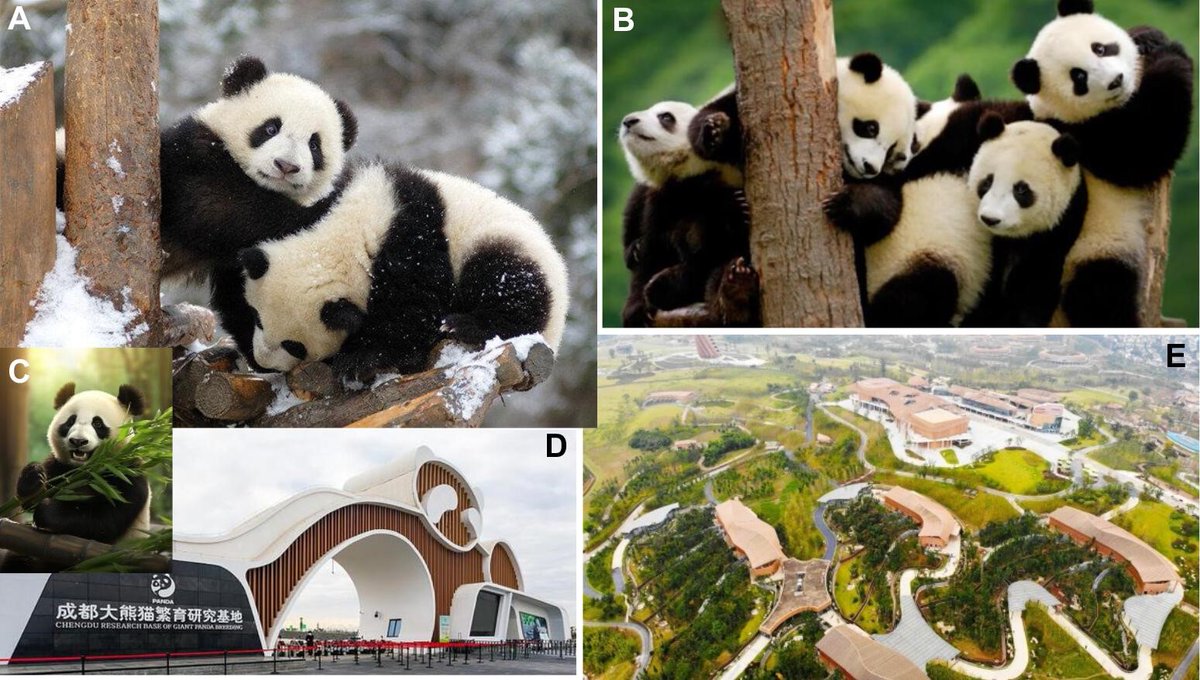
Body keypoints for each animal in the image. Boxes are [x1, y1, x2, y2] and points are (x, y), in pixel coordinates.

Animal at [3, 383, 149, 572]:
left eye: (97, 423)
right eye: (70, 421)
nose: (78, 441)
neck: (87, 470)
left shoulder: (127, 474)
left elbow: (103, 521)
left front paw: (48, 510)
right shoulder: (60, 466)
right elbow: (33, 496)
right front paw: (33, 479)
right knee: (17, 559)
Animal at [216, 159, 568, 381]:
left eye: (294, 346)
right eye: (258, 319)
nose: (264, 362)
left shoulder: (415, 254)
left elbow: (409, 322)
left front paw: (358, 360)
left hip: (502, 248)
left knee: (511, 285)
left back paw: (465, 325)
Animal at [618, 100, 751, 327]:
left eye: (666, 117)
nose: (629, 121)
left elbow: (707, 243)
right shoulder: (660, 198)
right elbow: (652, 247)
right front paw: (637, 309)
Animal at [965, 115, 1087, 327]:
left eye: (1021, 190)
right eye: (987, 182)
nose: (990, 218)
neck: (1015, 238)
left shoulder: (1058, 233)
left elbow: (1035, 290)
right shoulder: (994, 248)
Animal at [1011, 0, 1194, 326]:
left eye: (1099, 48)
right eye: (1079, 77)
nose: (1116, 81)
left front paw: (1148, 37)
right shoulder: (1082, 137)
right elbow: (1146, 145)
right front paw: (1171, 53)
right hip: (1093, 248)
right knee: (1099, 294)